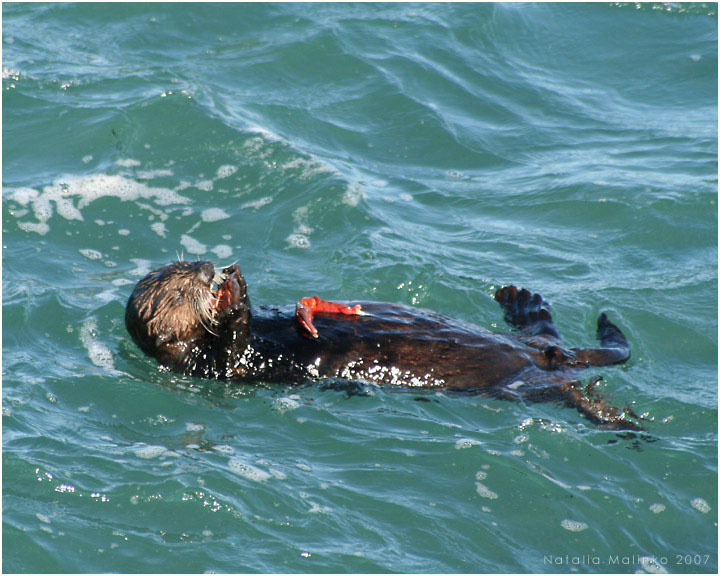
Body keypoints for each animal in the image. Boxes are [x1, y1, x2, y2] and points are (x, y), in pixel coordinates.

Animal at [125, 260, 642, 430]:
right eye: (180, 289)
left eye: (186, 262)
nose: (208, 267)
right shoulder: (220, 367)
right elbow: (234, 346)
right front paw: (233, 298)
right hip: (527, 384)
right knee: (568, 390)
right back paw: (623, 423)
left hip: (538, 351)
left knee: (547, 333)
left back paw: (522, 299)